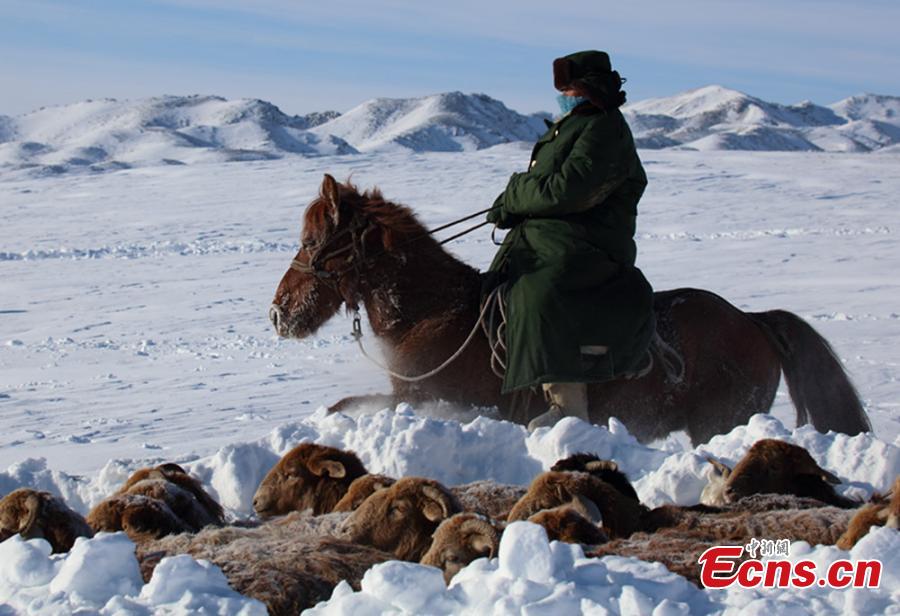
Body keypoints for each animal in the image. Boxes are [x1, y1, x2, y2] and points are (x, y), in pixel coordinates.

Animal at [268, 176, 872, 446]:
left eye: (312, 242)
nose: (278, 312)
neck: (435, 314)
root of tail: (752, 320)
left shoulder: (434, 401)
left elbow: (350, 407)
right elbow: (343, 405)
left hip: (719, 423)